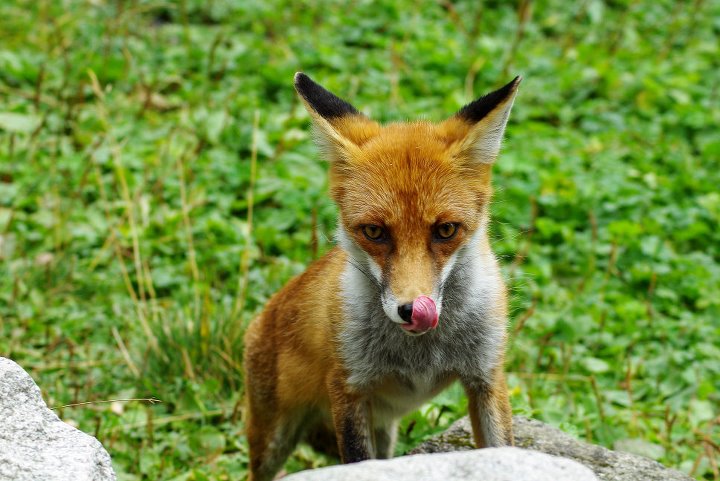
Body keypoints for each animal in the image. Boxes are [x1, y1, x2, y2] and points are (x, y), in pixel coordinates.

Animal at [243, 72, 521, 481]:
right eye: (374, 232)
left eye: (446, 230)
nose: (411, 309)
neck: (421, 354)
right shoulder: (348, 385)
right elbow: (358, 461)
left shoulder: (487, 376)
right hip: (272, 441)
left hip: (385, 432)